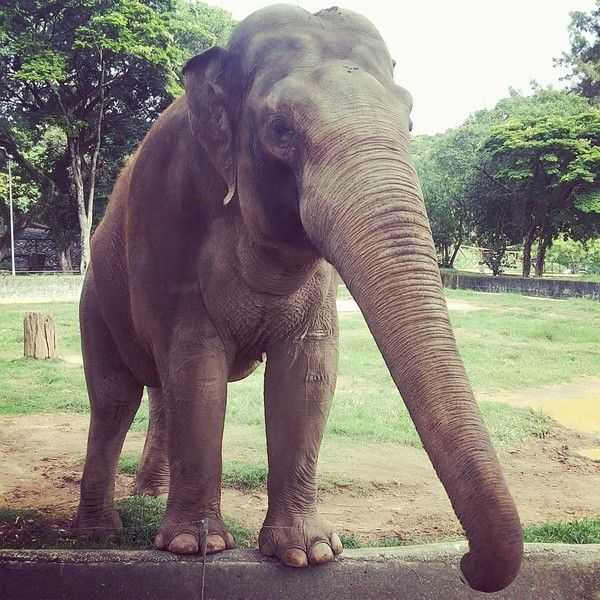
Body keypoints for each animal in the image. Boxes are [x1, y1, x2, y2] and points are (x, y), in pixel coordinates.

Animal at [74, 4, 520, 592]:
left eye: (409, 121)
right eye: (280, 128)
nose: (466, 563)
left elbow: (308, 369)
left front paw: (309, 553)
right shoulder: (170, 221)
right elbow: (197, 367)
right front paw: (196, 548)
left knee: (158, 391)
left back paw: (147, 497)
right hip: (94, 303)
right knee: (113, 398)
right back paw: (97, 533)